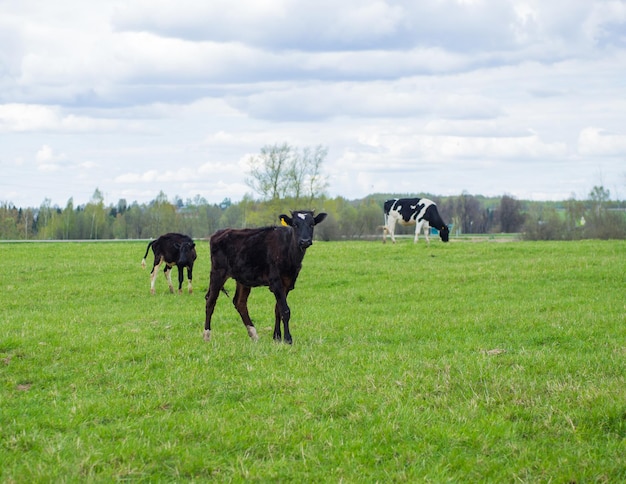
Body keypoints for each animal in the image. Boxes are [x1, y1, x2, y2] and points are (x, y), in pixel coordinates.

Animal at [204, 211, 326, 344]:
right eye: (295, 225)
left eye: (312, 224)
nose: (305, 241)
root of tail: (219, 232)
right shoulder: (276, 282)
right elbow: (285, 310)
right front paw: (288, 339)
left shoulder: (287, 283)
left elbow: (278, 309)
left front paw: (277, 337)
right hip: (218, 272)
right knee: (210, 301)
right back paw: (207, 335)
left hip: (243, 278)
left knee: (240, 302)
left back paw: (254, 334)